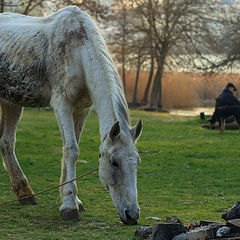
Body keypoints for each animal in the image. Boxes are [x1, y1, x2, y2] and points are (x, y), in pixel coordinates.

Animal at [0, 6, 142, 226]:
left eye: (137, 161)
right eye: (114, 162)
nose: (132, 215)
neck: (79, 51)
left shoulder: (81, 109)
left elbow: (69, 149)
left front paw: (74, 201)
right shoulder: (62, 105)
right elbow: (71, 150)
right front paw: (69, 207)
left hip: (11, 102)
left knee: (6, 143)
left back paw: (25, 193)